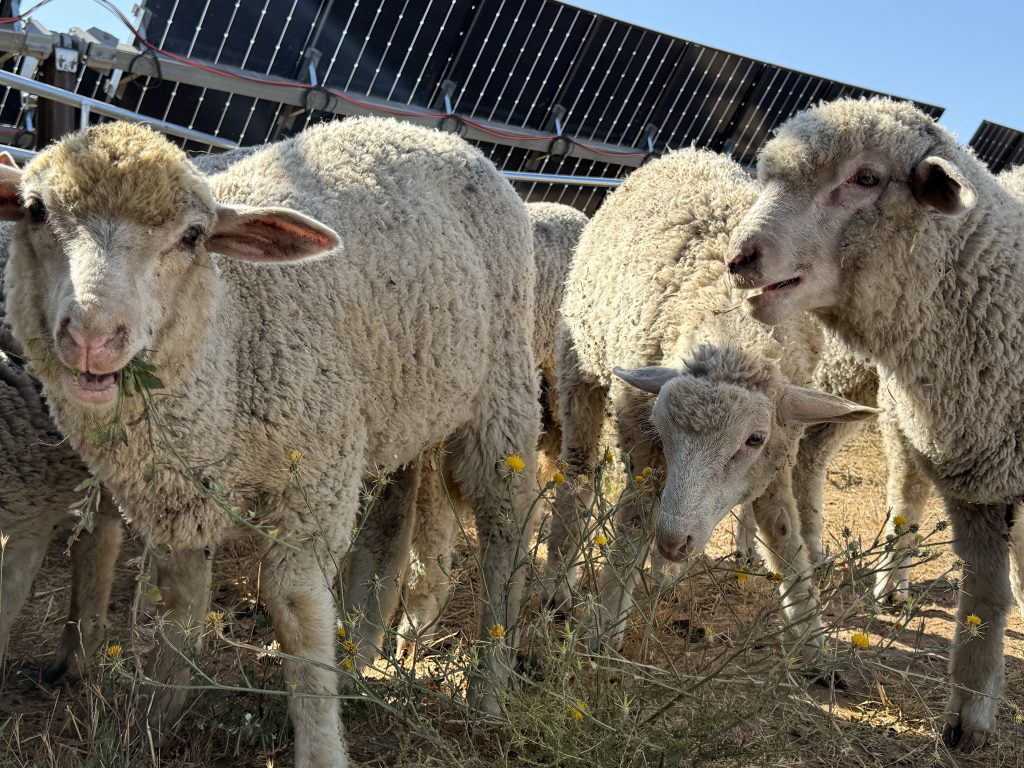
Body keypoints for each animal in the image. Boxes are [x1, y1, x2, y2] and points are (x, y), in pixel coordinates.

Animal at [1, 118, 540, 768]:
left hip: (501, 389)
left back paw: (488, 689)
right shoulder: (177, 501)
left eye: (193, 236)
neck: (232, 338)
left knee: (507, 526)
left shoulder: (314, 485)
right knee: (389, 526)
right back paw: (360, 656)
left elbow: (295, 610)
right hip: (394, 409)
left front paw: (321, 747)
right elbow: (179, 607)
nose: (93, 336)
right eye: (34, 211)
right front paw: (153, 723)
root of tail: (437, 133)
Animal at [545, 147, 878, 655]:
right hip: (578, 360)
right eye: (661, 428)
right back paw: (559, 583)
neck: (732, 332)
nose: (674, 542)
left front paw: (813, 642)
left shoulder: (778, 450)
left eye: (753, 439)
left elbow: (784, 534)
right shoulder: (643, 445)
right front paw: (601, 630)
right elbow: (632, 527)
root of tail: (685, 152)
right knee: (579, 472)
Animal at [724, 96, 1024, 751]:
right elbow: (984, 598)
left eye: (866, 178)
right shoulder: (977, 476)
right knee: (834, 466)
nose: (738, 259)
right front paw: (969, 717)